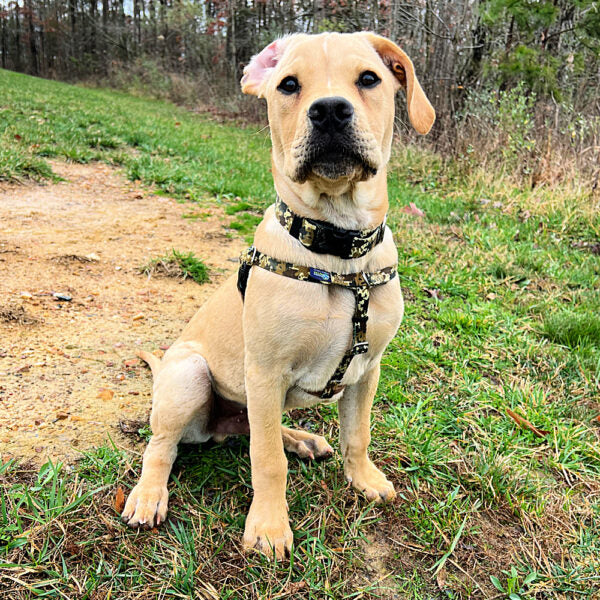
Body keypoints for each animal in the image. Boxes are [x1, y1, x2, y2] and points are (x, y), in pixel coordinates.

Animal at [122, 31, 434, 556]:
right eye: (289, 85)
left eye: (369, 79)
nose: (329, 111)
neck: (339, 249)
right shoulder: (266, 371)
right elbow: (267, 460)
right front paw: (269, 526)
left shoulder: (368, 368)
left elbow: (358, 434)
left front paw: (364, 479)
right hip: (189, 375)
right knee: (163, 445)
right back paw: (148, 496)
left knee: (251, 427)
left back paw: (301, 439)